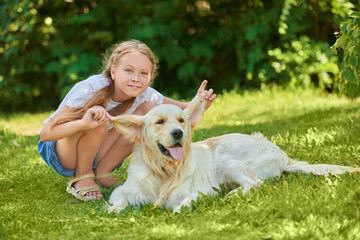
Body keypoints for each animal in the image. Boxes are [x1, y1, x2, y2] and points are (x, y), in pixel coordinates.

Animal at [107, 94, 360, 213]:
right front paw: (113, 210)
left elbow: (186, 200)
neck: (163, 170)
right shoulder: (124, 190)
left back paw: (233, 195)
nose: (178, 133)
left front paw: (179, 209)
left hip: (228, 161)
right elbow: (118, 202)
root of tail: (280, 152)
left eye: (181, 120)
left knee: (256, 183)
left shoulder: (201, 190)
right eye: (159, 122)